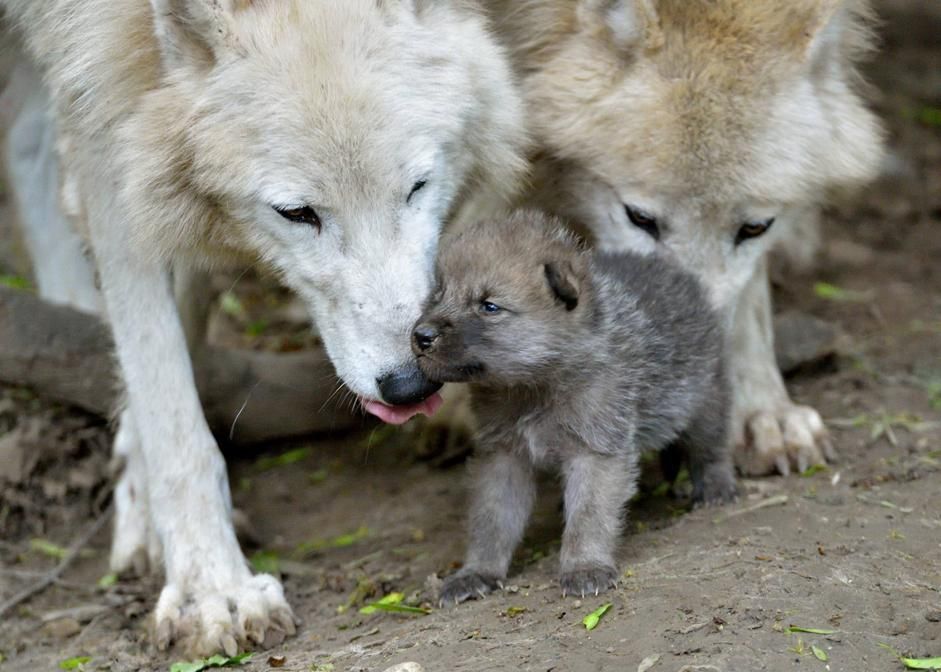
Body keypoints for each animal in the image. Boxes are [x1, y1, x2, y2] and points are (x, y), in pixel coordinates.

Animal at [1, 0, 528, 652]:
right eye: (296, 213)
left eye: (417, 187)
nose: (411, 385)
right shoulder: (101, 91)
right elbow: (166, 397)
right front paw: (211, 588)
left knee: (28, 139)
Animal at [412, 209, 736, 604]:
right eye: (438, 295)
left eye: (489, 306)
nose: (421, 336)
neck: (535, 386)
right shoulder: (503, 457)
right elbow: (492, 519)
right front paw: (477, 571)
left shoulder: (595, 452)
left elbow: (589, 515)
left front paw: (585, 566)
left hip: (704, 399)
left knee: (710, 447)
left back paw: (717, 486)